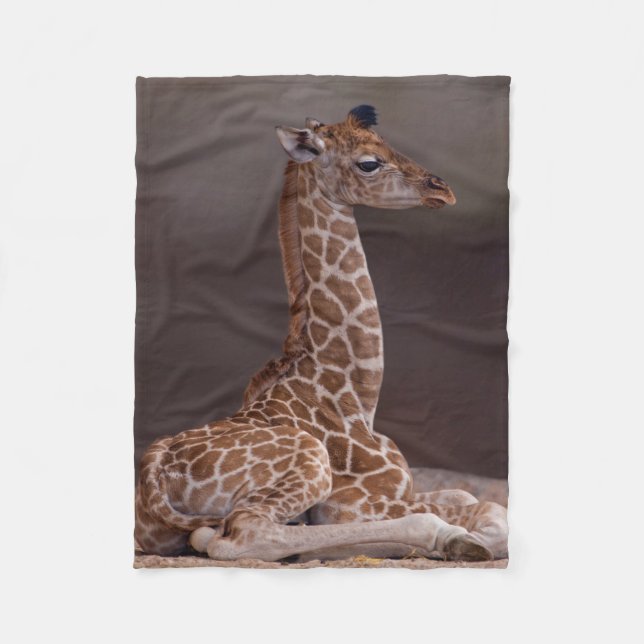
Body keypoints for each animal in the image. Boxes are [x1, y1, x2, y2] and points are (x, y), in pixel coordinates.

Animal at [135, 105, 508, 563]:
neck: (356, 396)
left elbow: (469, 497)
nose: (443, 189)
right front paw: (462, 538)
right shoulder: (351, 502)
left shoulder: (399, 491)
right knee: (244, 533)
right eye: (369, 163)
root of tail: (152, 478)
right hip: (309, 461)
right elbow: (487, 509)